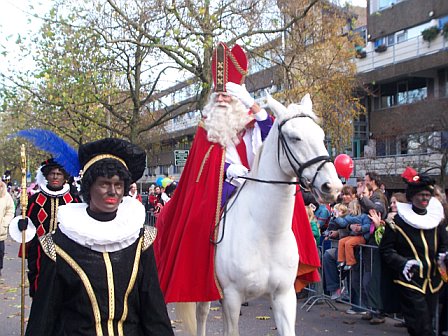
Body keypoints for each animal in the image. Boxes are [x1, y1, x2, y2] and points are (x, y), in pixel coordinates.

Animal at [177, 94, 342, 336]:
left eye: (321, 136)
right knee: (202, 315)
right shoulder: (232, 297)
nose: (332, 187)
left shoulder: (284, 295)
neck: (267, 233)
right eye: (295, 138)